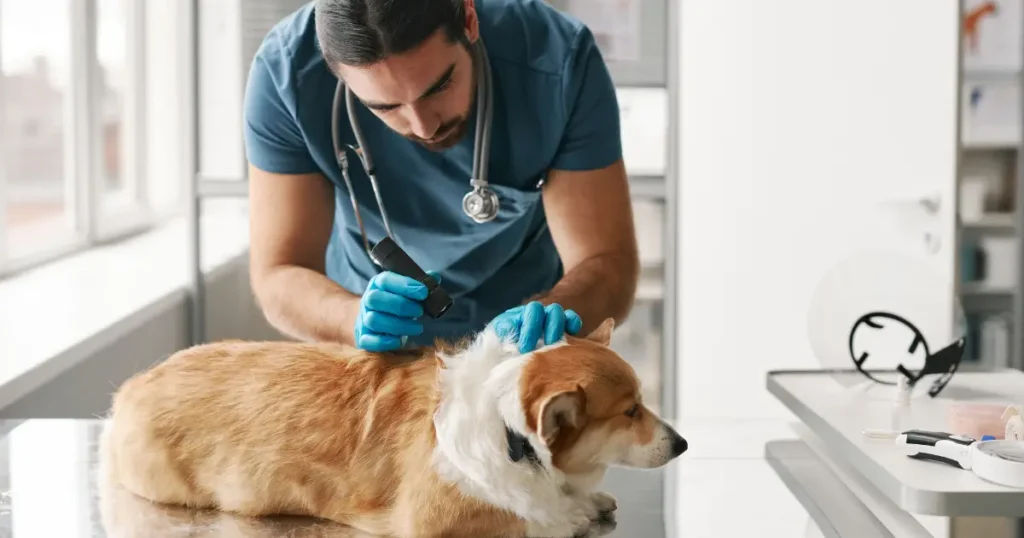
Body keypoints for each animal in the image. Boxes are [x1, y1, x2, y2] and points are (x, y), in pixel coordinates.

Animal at [99, 319, 688, 536]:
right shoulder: (439, 523)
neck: (511, 435)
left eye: (643, 401)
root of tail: (129, 388)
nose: (683, 443)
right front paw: (570, 514)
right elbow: (533, 520)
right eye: (631, 411)